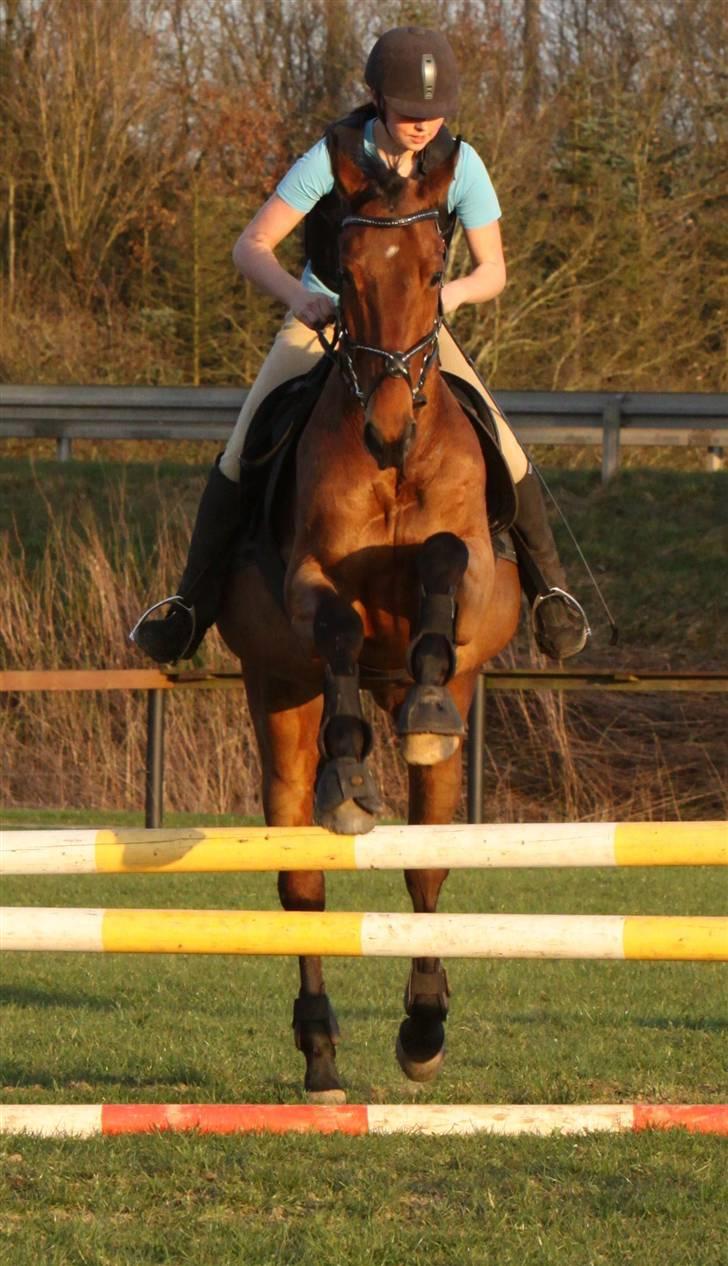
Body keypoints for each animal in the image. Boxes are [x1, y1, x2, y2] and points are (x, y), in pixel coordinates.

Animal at [219, 133, 521, 1098]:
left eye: (436, 272)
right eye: (344, 276)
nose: (388, 433)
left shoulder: (469, 586)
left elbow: (445, 562)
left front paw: (419, 708)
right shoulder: (307, 582)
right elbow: (341, 629)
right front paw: (349, 772)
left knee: (426, 867)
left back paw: (423, 1029)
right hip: (278, 698)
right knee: (301, 886)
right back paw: (320, 1053)